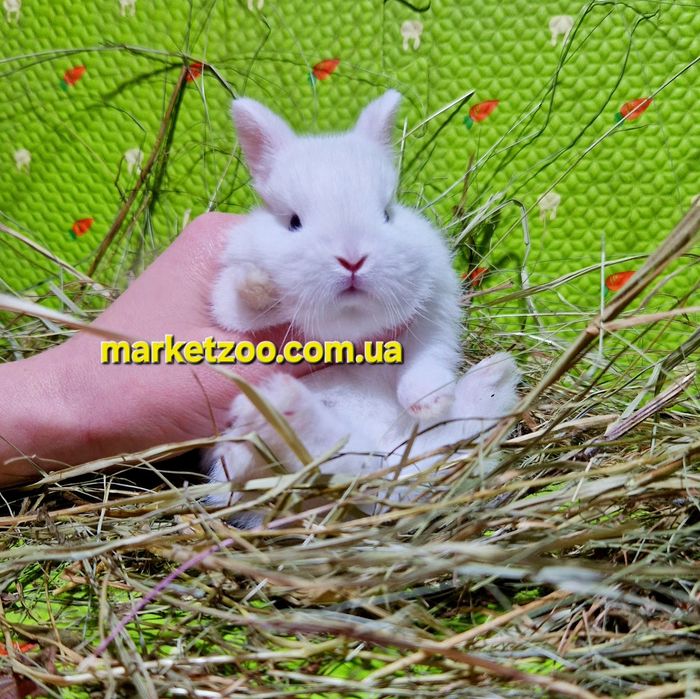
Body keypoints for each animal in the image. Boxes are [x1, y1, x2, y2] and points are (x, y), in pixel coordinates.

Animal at [205, 90, 520, 520]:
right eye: (293, 222)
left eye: (387, 213)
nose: (352, 259)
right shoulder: (228, 304)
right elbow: (240, 305)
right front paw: (259, 283)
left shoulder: (436, 313)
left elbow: (428, 359)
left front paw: (429, 401)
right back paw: (268, 416)